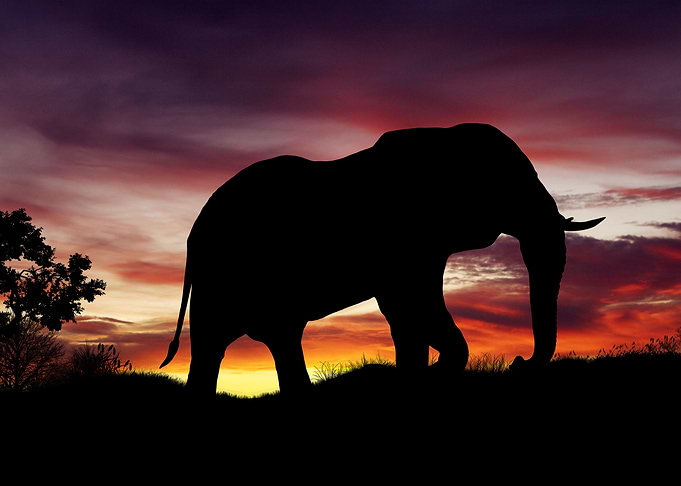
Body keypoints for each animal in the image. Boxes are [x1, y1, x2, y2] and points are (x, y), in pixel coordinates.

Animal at [160, 123, 604, 396]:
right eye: (510, 182)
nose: (517, 362)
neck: (444, 137)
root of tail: (194, 230)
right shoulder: (401, 240)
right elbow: (409, 305)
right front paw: (429, 373)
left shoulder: (425, 244)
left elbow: (409, 312)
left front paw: (420, 375)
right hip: (222, 271)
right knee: (217, 343)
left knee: (276, 337)